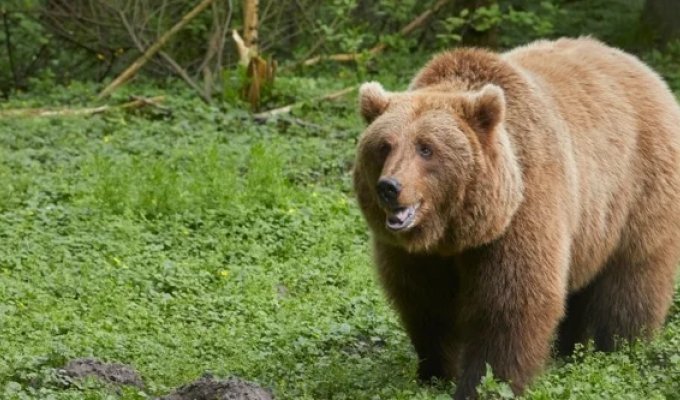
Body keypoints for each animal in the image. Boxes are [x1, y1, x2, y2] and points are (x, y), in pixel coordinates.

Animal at [354, 36, 680, 398]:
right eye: (384, 146)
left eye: (426, 148)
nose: (389, 187)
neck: (454, 232)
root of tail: (645, 69)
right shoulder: (414, 254)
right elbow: (425, 302)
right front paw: (435, 372)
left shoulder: (522, 210)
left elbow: (511, 301)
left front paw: (487, 381)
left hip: (638, 189)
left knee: (631, 277)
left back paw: (619, 346)